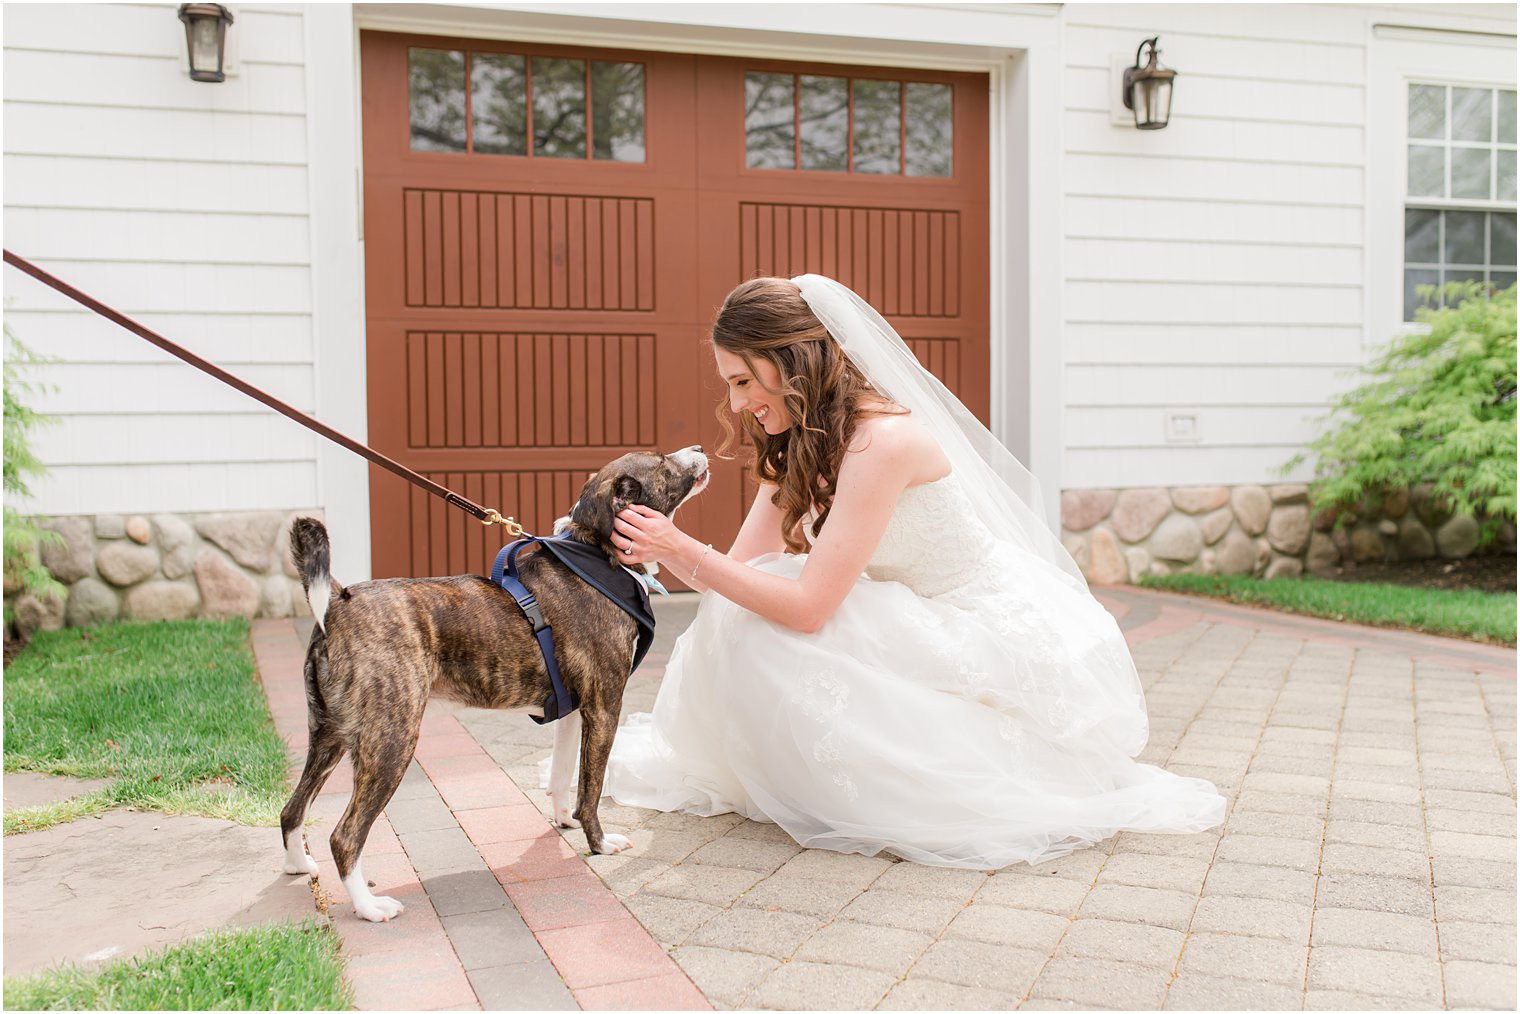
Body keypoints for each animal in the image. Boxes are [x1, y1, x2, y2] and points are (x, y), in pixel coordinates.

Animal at [279, 443, 705, 918]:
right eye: (663, 462)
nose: (700, 448)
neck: (596, 554)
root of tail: (339, 601)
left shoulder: (575, 709)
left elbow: (563, 775)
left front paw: (565, 821)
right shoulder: (604, 707)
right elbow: (591, 790)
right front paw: (598, 842)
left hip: (328, 735)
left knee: (291, 810)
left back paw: (300, 866)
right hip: (391, 740)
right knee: (345, 834)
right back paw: (369, 907)